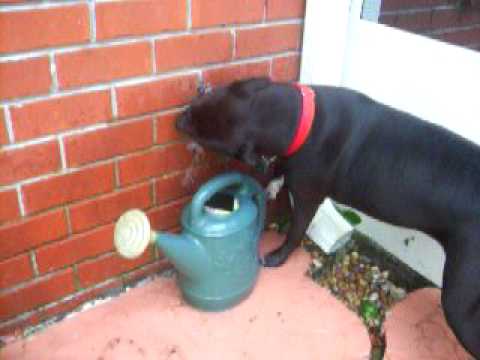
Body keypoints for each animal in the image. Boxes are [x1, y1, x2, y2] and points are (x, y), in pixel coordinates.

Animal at [176, 77, 480, 356]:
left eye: (201, 133)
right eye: (196, 105)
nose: (178, 120)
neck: (297, 119)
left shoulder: (308, 197)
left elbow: (296, 230)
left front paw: (278, 256)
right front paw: (274, 180)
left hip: (459, 299)